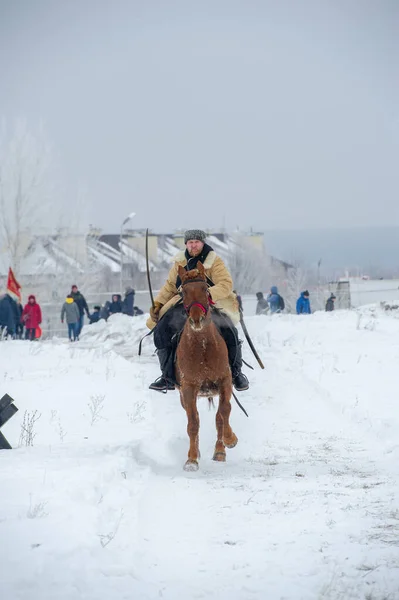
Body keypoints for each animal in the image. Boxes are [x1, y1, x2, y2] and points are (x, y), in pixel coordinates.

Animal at [176, 260, 238, 472]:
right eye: (183, 291)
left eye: (205, 288)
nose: (197, 319)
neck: (202, 348)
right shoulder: (188, 387)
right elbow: (193, 423)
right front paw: (192, 459)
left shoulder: (224, 380)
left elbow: (224, 412)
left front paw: (229, 440)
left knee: (221, 416)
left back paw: (220, 451)